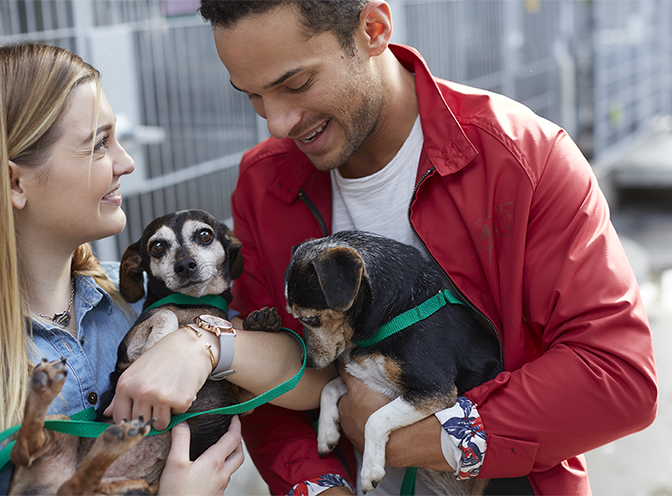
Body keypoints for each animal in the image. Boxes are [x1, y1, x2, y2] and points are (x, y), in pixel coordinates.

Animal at [8, 209, 276, 496]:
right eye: (157, 247)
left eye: (205, 235)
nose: (184, 265)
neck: (192, 303)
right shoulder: (126, 353)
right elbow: (166, 314)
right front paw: (158, 346)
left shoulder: (245, 401)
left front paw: (259, 321)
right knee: (28, 456)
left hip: (131, 487)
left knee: (65, 477)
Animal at [280, 232, 502, 496]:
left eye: (309, 319)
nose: (309, 363)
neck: (395, 314)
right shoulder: (370, 379)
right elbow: (329, 388)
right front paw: (326, 433)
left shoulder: (435, 390)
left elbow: (375, 418)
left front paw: (369, 470)